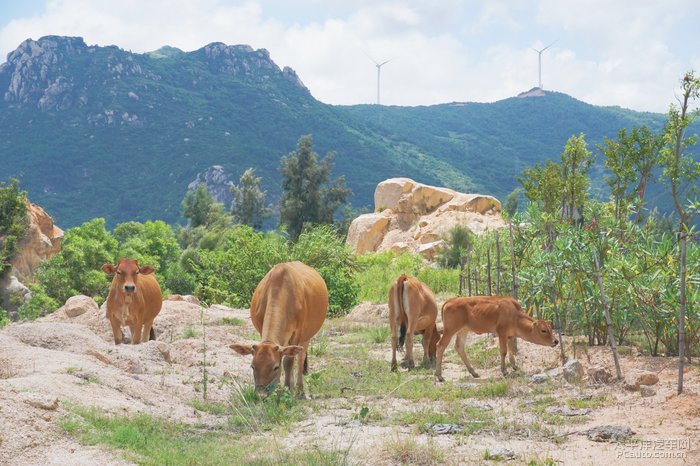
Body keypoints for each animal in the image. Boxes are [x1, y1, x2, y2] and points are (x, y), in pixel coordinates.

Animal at [230, 260, 328, 396]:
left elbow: (289, 361)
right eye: (253, 366)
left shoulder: (297, 333)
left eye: (275, 367)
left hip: (307, 335)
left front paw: (287, 387)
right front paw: (284, 388)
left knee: (300, 357)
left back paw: (299, 390)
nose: (261, 394)